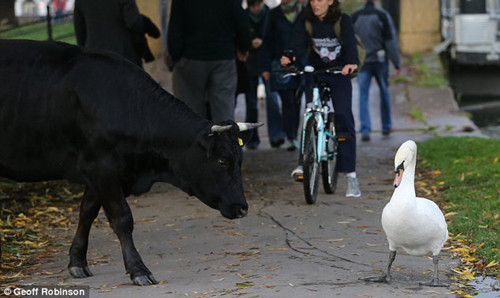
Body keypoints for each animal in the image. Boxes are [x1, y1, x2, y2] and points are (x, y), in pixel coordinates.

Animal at [0, 39, 260, 286]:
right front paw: (139, 270)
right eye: (222, 161)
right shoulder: (101, 168)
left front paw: (77, 261)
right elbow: (122, 218)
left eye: (239, 160)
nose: (242, 207)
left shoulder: (101, 175)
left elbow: (87, 212)